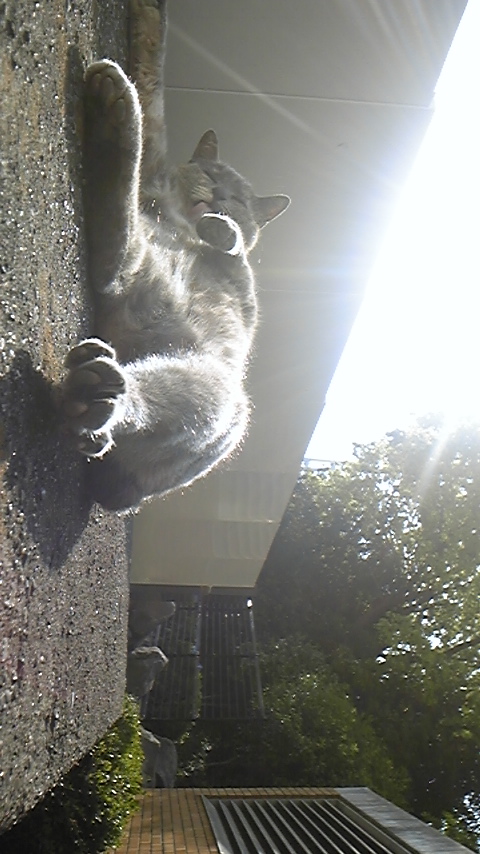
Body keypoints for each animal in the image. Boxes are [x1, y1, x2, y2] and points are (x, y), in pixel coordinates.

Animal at [63, 0, 290, 511]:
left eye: (239, 199)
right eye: (212, 173)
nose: (219, 196)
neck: (176, 214)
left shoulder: (245, 287)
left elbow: (237, 250)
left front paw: (222, 228)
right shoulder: (158, 162)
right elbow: (153, 73)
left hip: (219, 395)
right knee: (118, 257)